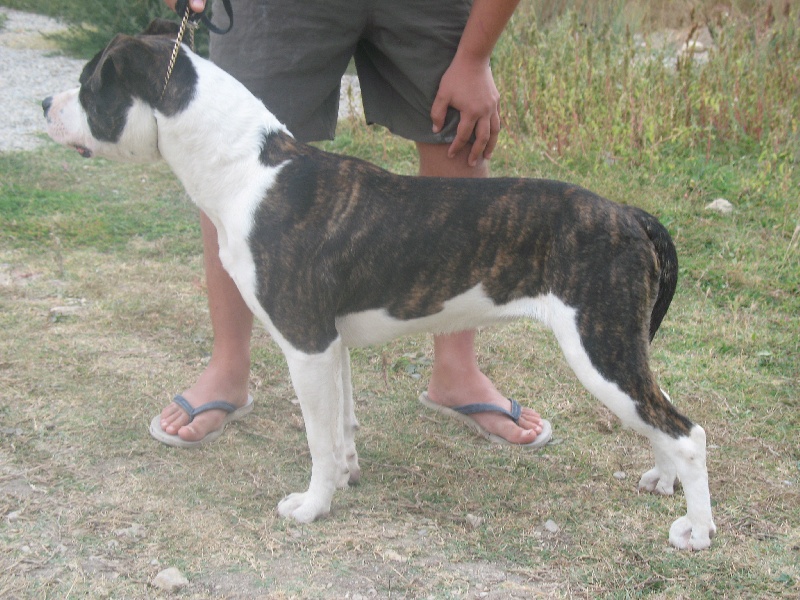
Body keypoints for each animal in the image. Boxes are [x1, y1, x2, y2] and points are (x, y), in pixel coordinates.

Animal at [42, 22, 720, 548]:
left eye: (89, 86)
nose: (46, 102)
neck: (248, 168)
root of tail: (627, 214)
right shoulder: (331, 345)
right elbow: (340, 428)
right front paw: (345, 477)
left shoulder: (306, 345)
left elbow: (317, 438)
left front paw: (312, 507)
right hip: (618, 346)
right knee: (660, 411)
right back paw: (663, 481)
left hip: (598, 347)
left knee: (687, 433)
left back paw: (697, 531)